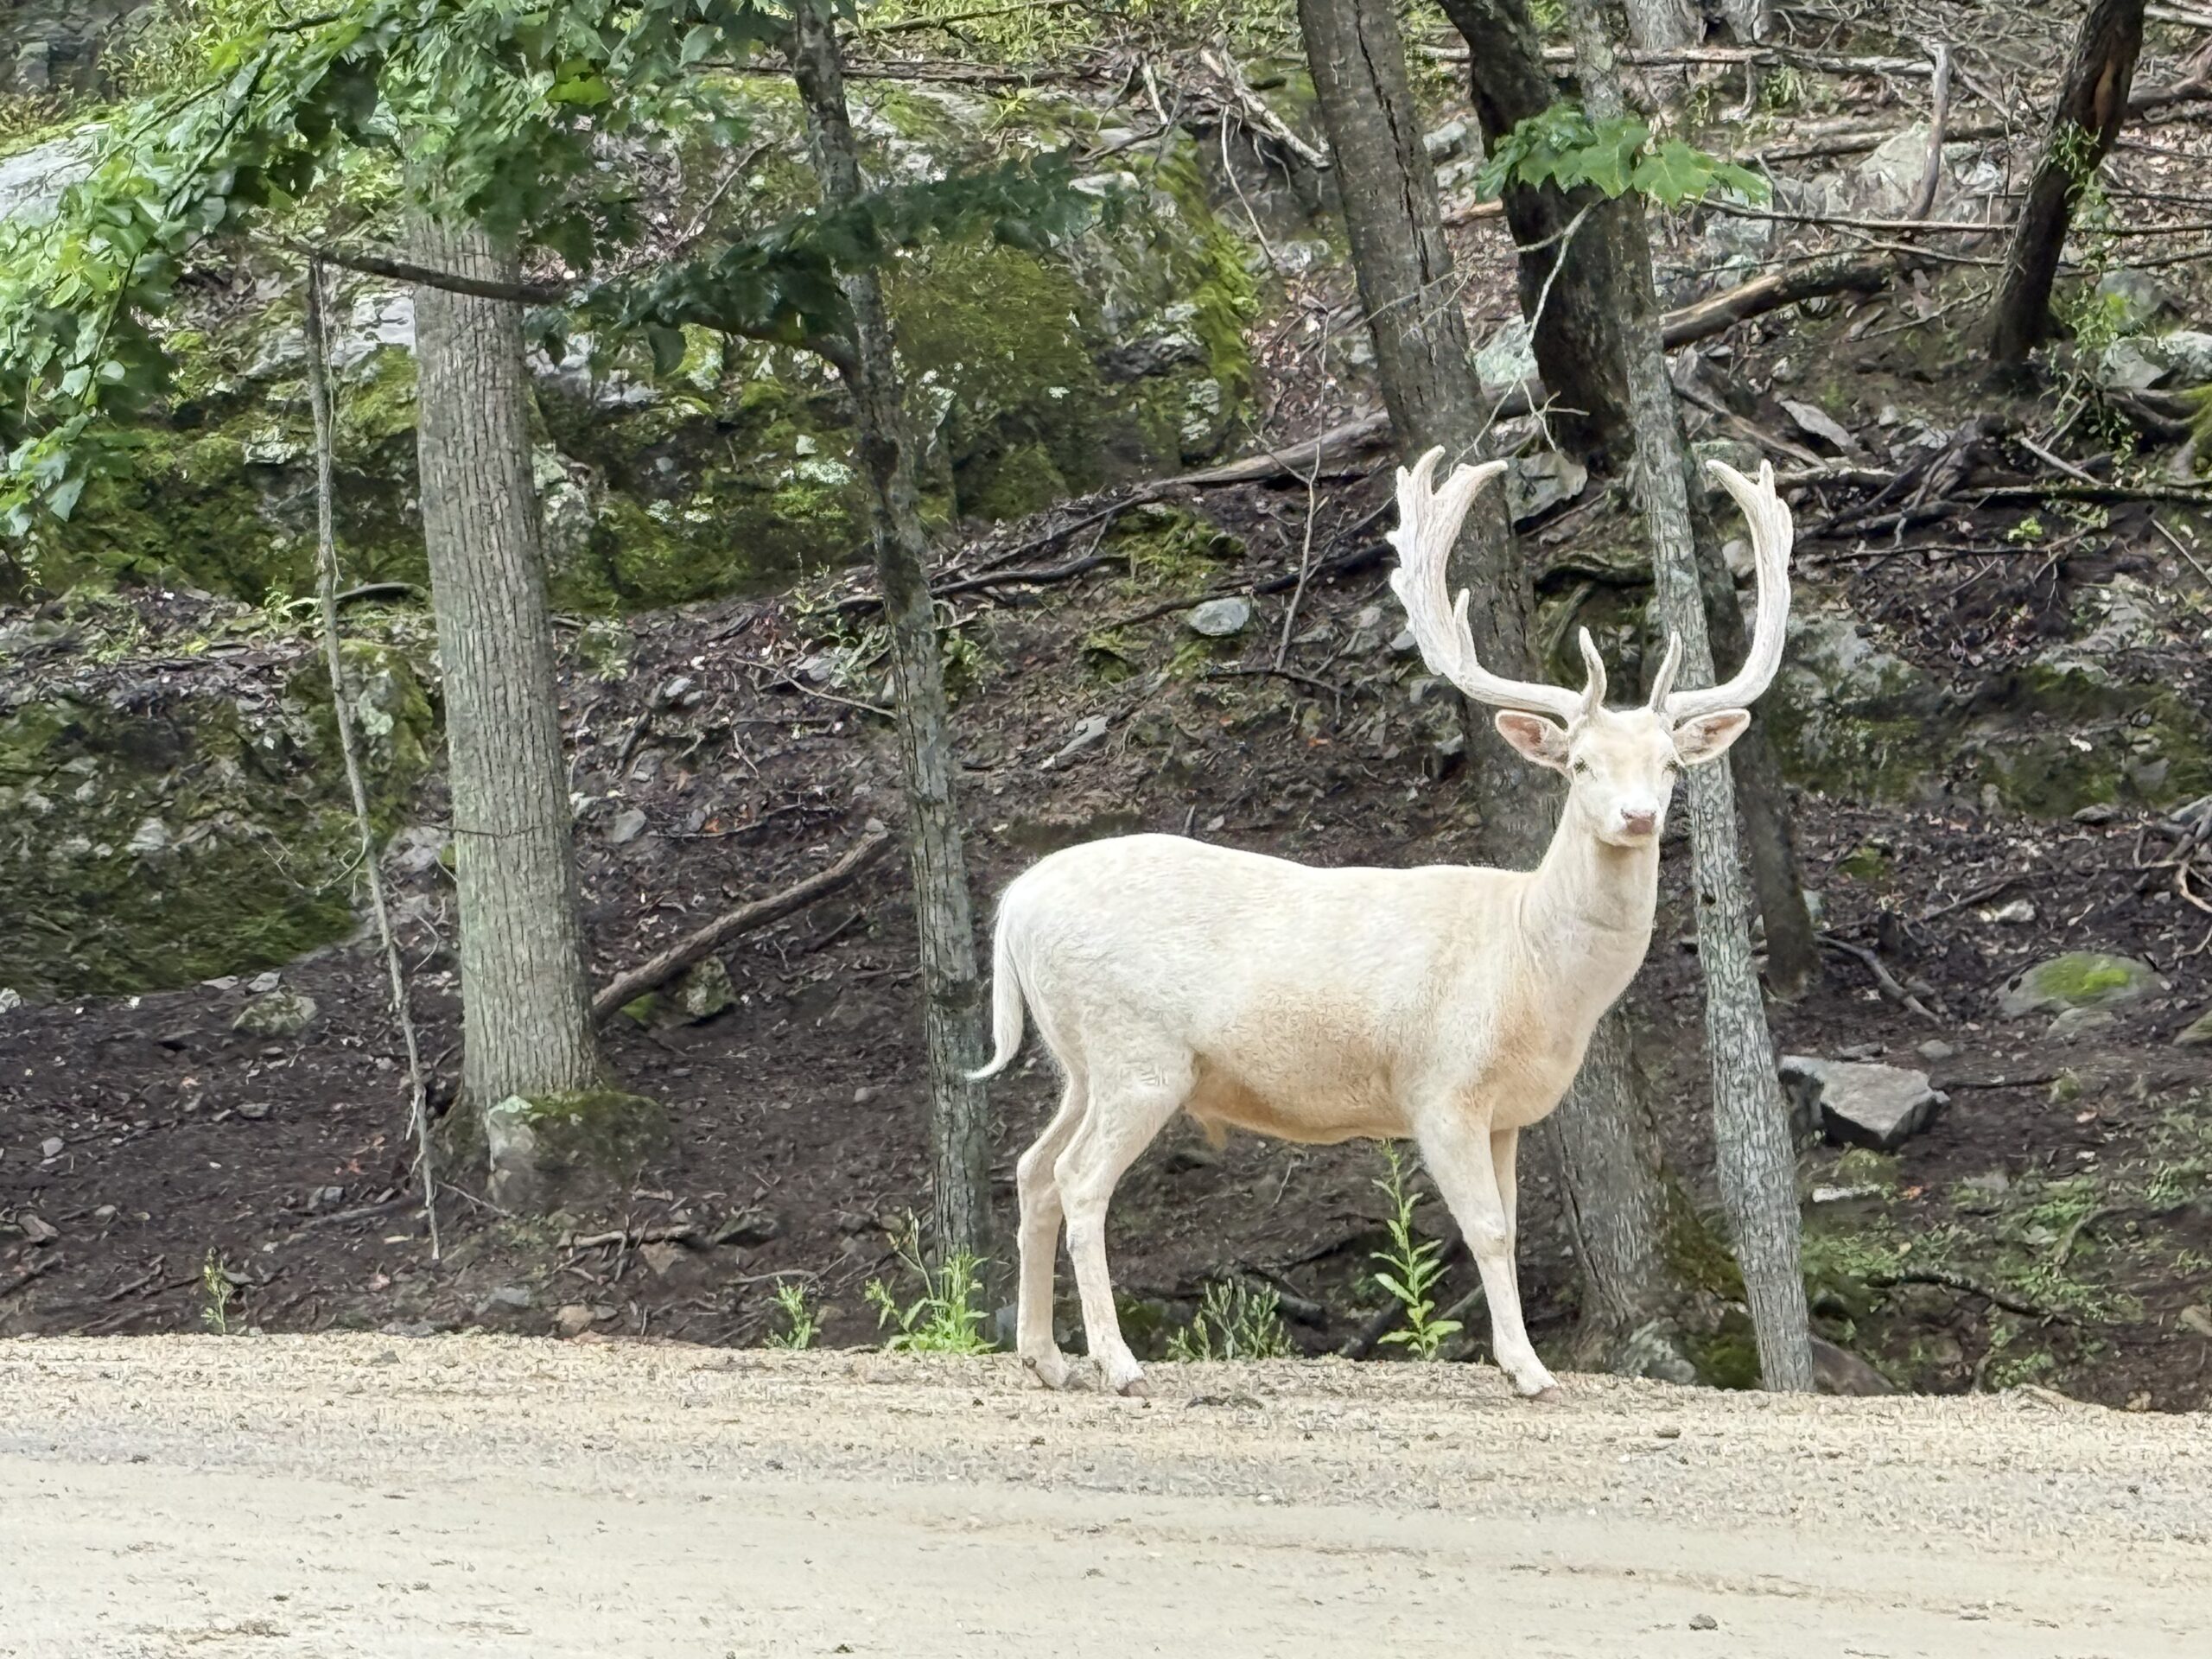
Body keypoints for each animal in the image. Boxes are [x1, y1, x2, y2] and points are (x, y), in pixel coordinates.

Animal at [969, 447, 1793, 1401]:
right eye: (1581, 763)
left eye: (1666, 765)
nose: (1637, 817)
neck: (1533, 972)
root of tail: (1015, 907)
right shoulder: (1441, 1086)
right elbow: (1489, 1229)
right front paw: (1527, 1369)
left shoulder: (1508, 1113)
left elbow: (1511, 1226)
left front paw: (1521, 1357)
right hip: (1136, 1050)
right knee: (1077, 1180)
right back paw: (1118, 1362)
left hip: (1078, 1058)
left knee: (1032, 1170)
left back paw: (1044, 1356)